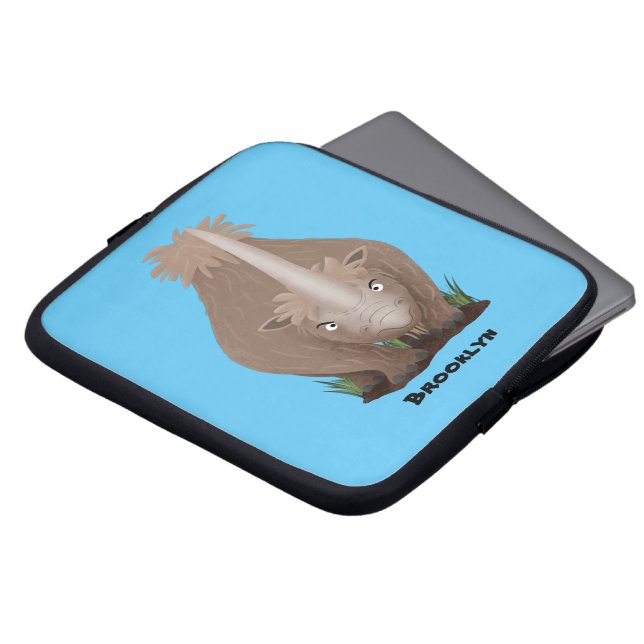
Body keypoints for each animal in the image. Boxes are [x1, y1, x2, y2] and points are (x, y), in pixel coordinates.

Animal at [144, 215, 466, 396]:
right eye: (329, 325)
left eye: (376, 285)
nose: (395, 319)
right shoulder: (280, 344)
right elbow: (342, 354)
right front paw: (409, 366)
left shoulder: (370, 253)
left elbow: (415, 277)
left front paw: (449, 322)